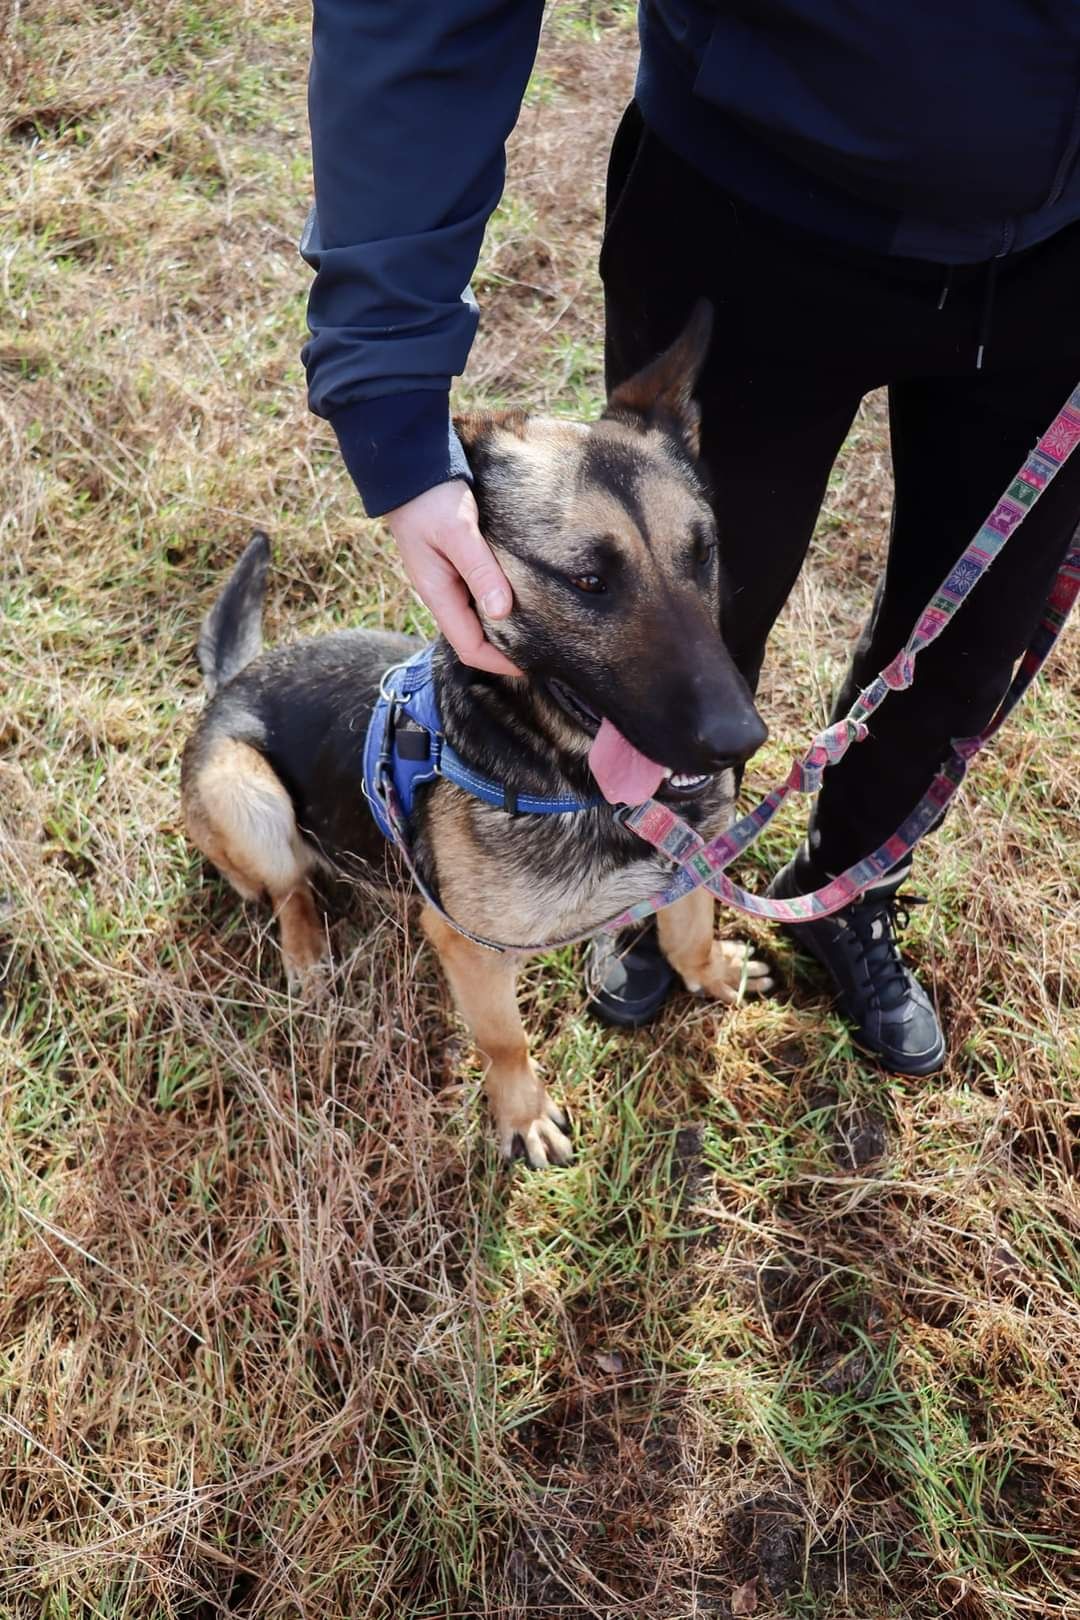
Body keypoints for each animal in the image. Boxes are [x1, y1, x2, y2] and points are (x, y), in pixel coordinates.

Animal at [181, 304, 773, 1166]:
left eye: (703, 555)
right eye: (589, 581)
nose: (740, 741)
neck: (565, 776)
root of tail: (231, 682)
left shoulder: (688, 872)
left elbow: (687, 934)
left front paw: (715, 972)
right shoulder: (472, 950)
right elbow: (504, 1040)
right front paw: (522, 1114)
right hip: (243, 788)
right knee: (288, 887)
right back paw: (308, 952)